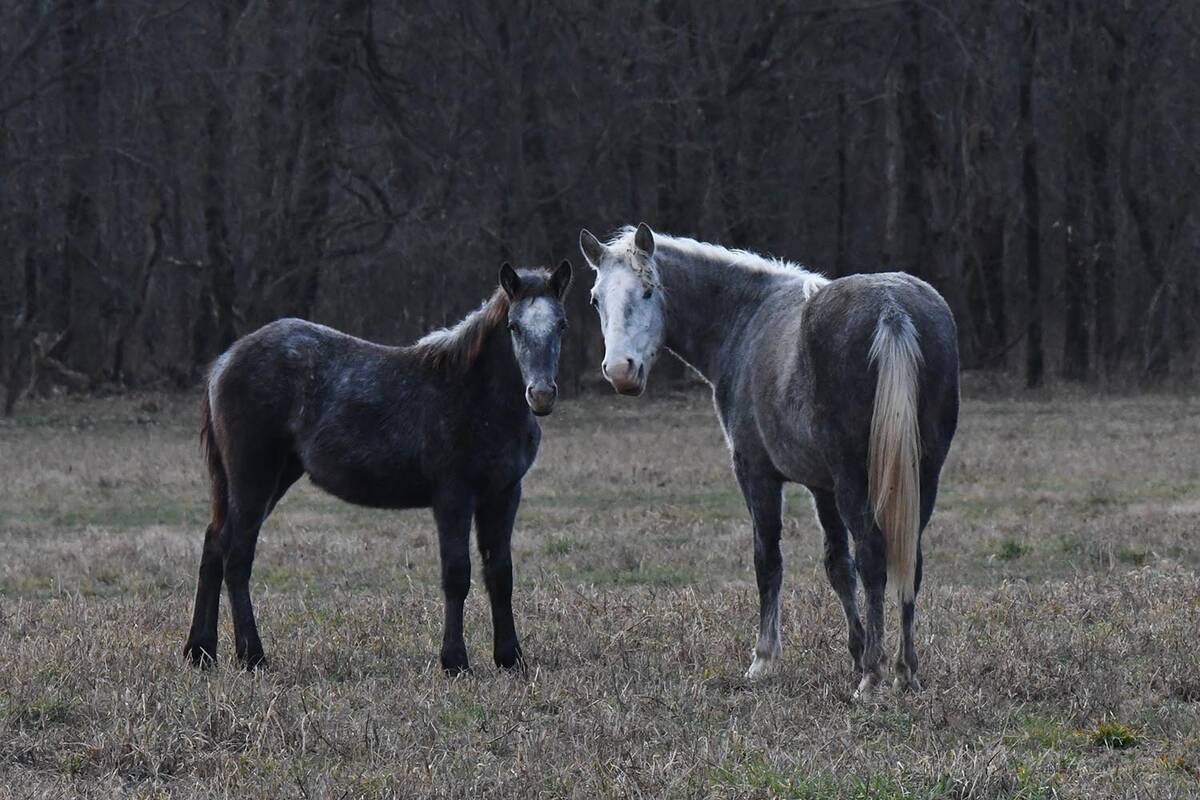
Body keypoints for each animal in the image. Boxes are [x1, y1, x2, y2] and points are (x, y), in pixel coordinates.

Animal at [183, 260, 573, 674]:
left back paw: (201, 652)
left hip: (267, 478)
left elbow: (500, 573)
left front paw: (510, 657)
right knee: (237, 556)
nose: (541, 395)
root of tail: (224, 361)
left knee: (215, 545)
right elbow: (457, 574)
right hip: (252, 477)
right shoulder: (453, 496)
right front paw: (454, 661)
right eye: (514, 326)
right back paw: (252, 655)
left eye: (561, 324)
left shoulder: (503, 494)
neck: (476, 395)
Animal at [580, 224, 958, 696]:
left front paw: (764, 659)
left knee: (873, 556)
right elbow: (838, 566)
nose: (621, 371)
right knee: (910, 559)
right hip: (922, 477)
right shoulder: (822, 487)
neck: (745, 318)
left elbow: (769, 561)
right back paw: (906, 671)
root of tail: (892, 310)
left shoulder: (756, 475)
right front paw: (854, 651)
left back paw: (873, 677)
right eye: (596, 299)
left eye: (649, 290)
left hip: (857, 480)